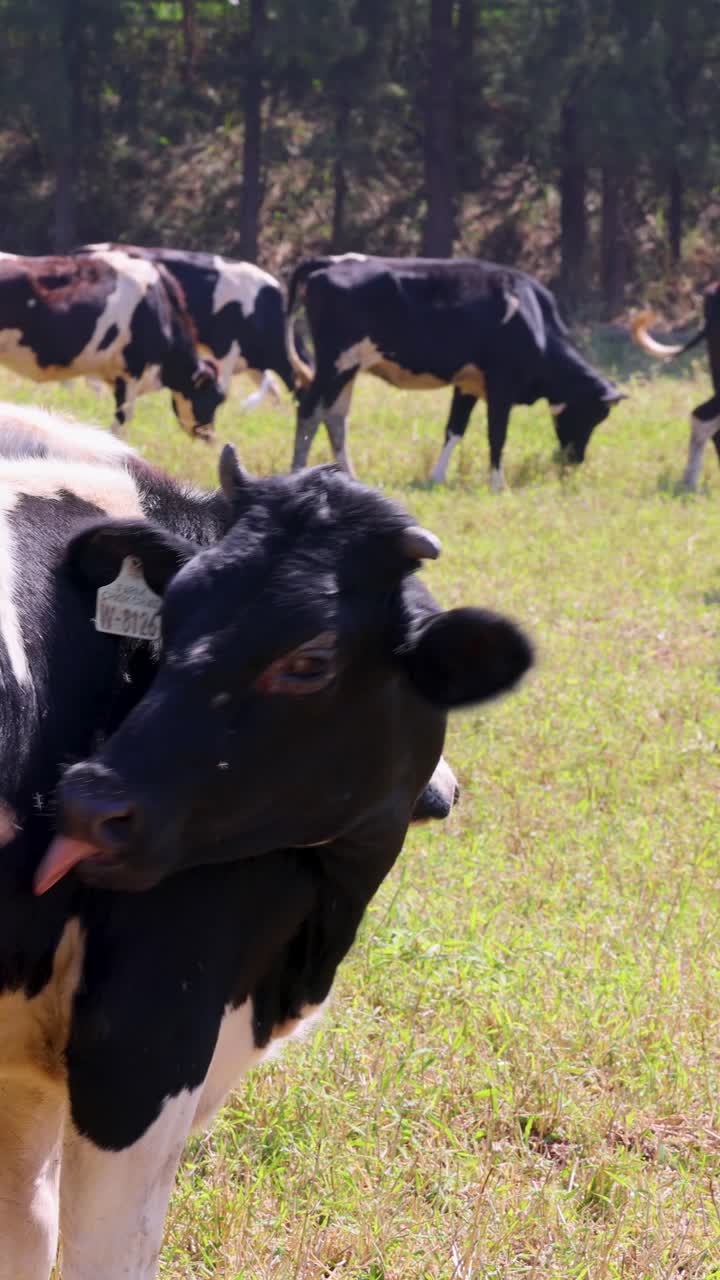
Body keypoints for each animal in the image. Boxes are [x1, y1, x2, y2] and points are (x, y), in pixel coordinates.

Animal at [285, 254, 625, 490]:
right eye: (593, 415)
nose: (575, 460)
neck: (534, 320)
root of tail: (329, 262)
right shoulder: (501, 385)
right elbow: (496, 433)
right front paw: (498, 484)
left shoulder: (468, 385)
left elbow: (454, 429)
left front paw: (436, 478)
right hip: (335, 363)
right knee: (310, 410)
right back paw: (296, 473)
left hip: (349, 367)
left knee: (335, 417)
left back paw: (350, 477)